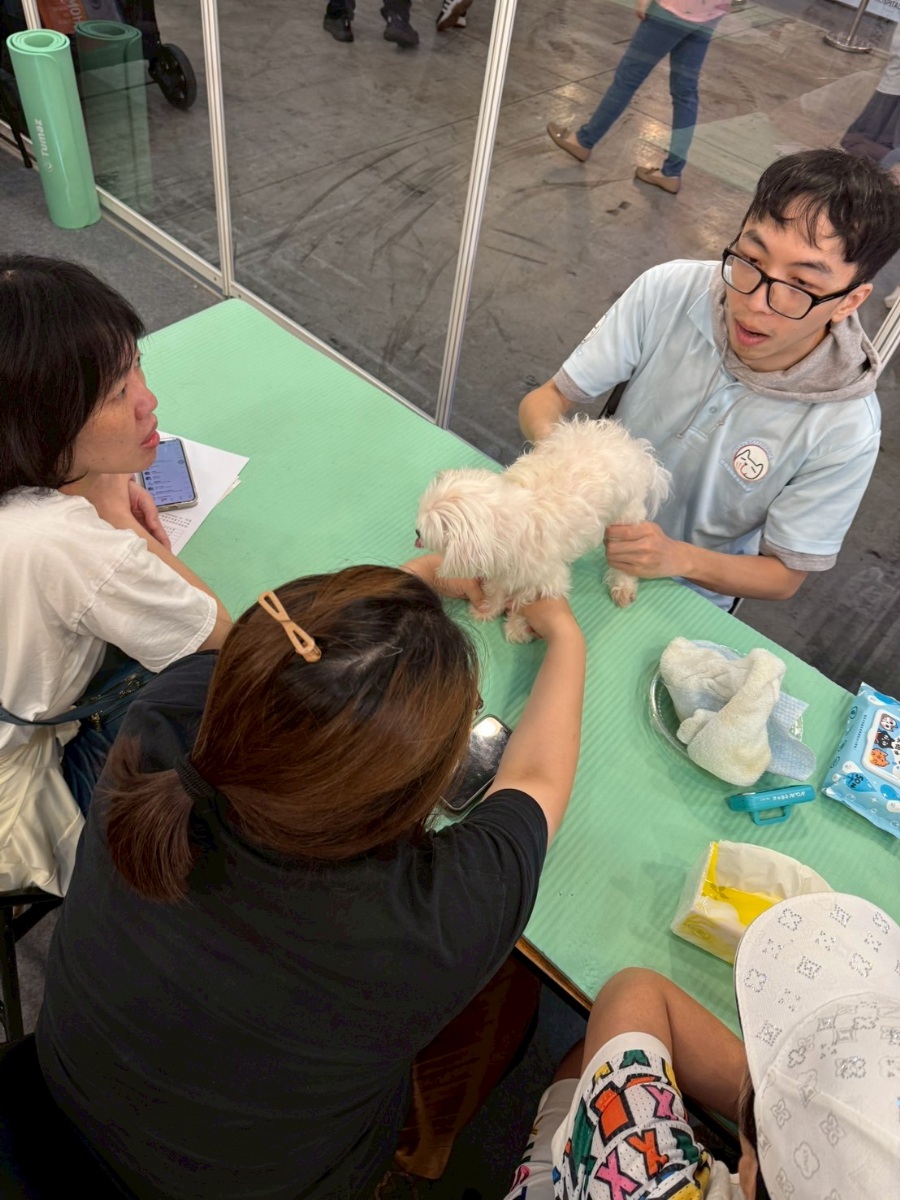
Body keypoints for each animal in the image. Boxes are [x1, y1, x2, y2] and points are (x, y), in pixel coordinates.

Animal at [415, 416, 671, 641]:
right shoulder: (502, 568)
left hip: (625, 519)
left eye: (427, 530)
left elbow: (524, 601)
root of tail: (635, 448)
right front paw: (488, 609)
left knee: (624, 562)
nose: (416, 533)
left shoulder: (544, 580)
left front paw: (517, 627)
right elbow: (496, 589)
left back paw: (623, 586)